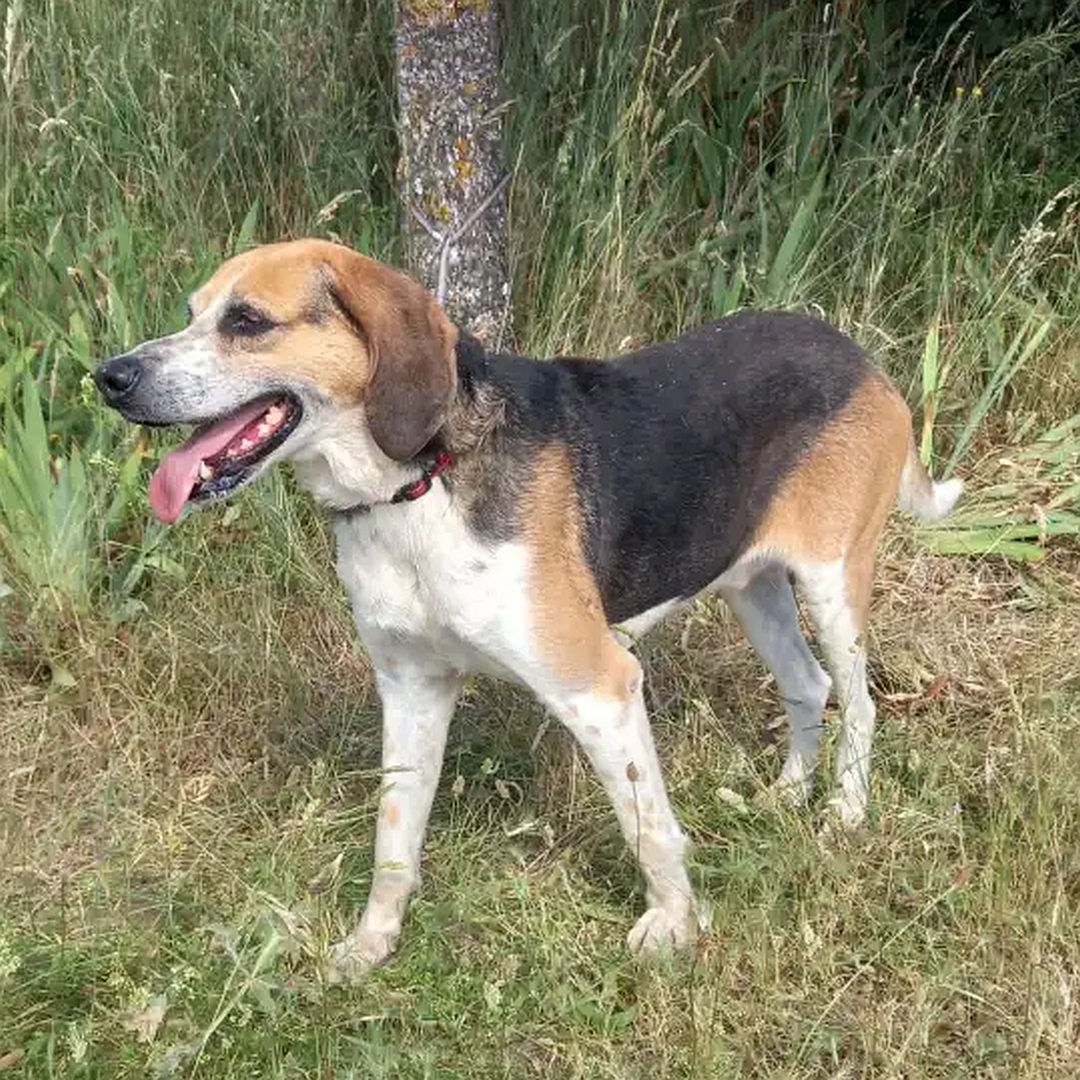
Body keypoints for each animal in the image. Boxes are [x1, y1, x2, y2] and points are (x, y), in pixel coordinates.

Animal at [95, 240, 963, 984]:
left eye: (246, 321)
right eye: (193, 310)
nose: (110, 377)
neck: (416, 484)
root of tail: (854, 352)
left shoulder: (600, 687)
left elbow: (649, 830)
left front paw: (674, 929)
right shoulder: (411, 690)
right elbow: (393, 841)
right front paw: (372, 946)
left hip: (829, 582)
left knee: (859, 700)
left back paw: (844, 810)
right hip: (749, 585)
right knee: (807, 684)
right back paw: (787, 794)